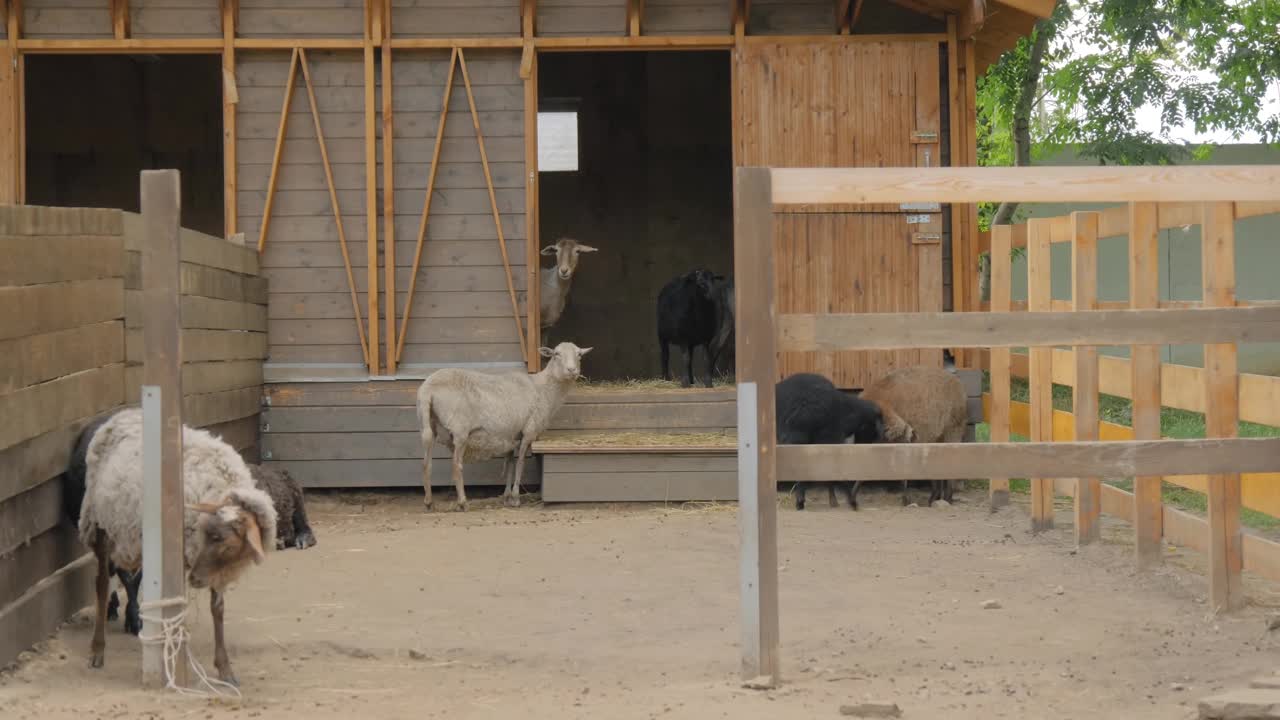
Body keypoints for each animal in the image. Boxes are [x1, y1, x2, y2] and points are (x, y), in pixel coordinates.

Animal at [77, 404, 277, 681]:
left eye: (223, 540)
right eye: (210, 535)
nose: (195, 579)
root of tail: (121, 415)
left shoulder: (213, 569)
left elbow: (217, 609)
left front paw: (224, 668)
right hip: (100, 524)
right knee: (102, 584)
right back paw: (98, 650)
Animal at [417, 340, 591, 509]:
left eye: (579, 355)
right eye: (556, 354)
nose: (572, 370)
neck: (543, 389)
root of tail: (428, 389)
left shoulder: (511, 434)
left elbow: (510, 464)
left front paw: (506, 496)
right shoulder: (529, 431)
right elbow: (520, 463)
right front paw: (515, 498)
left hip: (429, 425)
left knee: (426, 463)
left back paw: (429, 502)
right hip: (460, 430)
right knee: (456, 465)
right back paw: (462, 502)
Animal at [860, 363, 967, 504]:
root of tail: (960, 386)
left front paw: (906, 500)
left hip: (954, 429)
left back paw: (945, 499)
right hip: (938, 436)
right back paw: (935, 498)